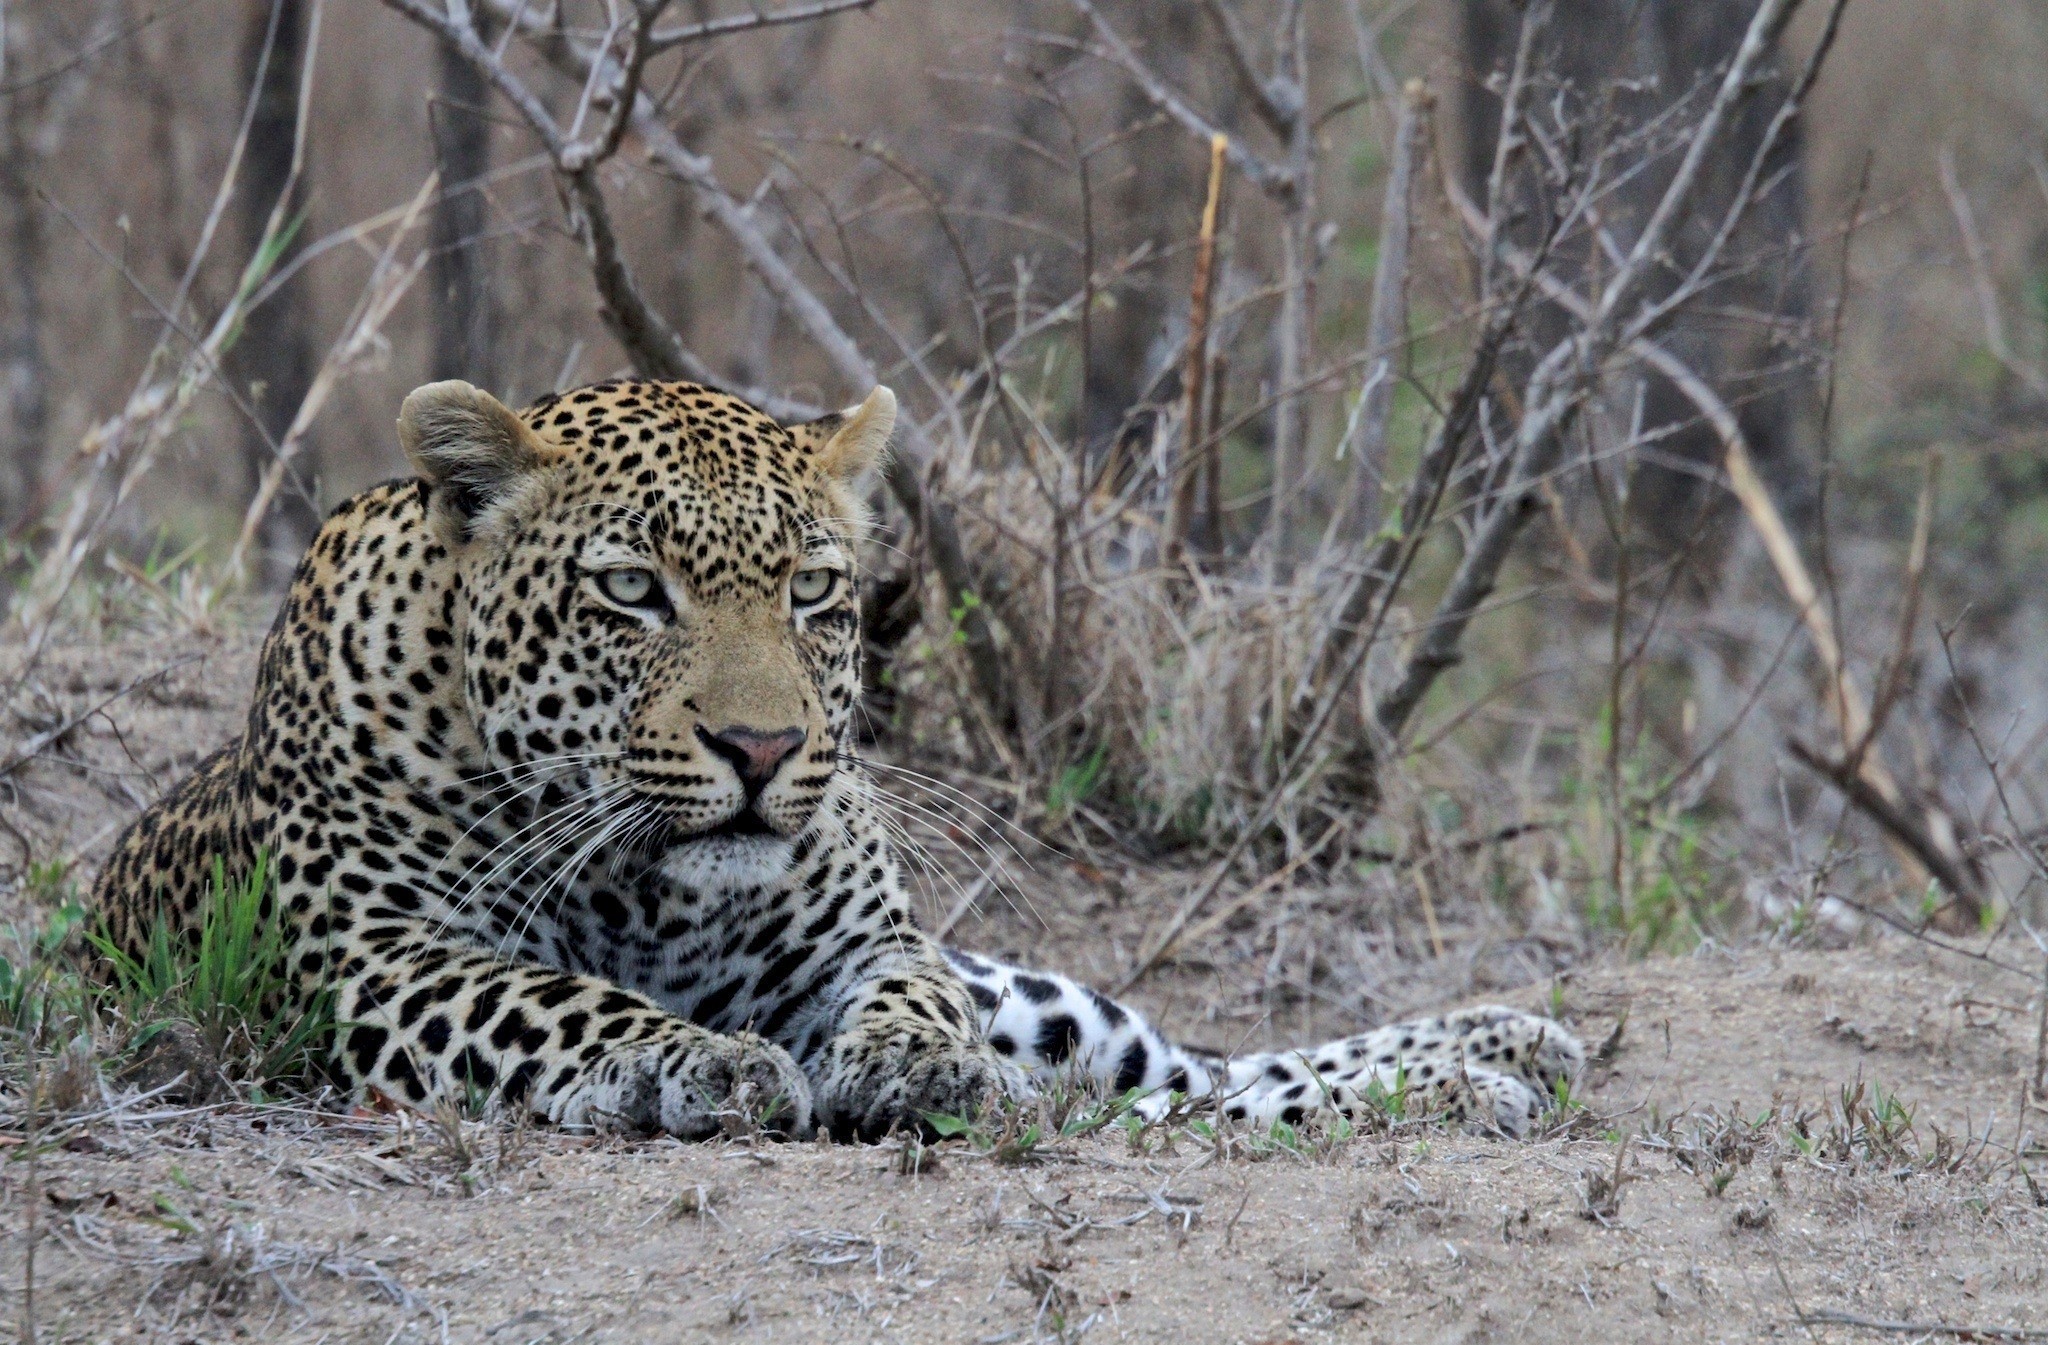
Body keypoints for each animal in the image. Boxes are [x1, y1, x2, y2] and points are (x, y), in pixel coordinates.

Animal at [92, 376, 1581, 1146]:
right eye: (630, 591)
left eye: (811, 589)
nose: (761, 746)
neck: (655, 893)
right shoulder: (382, 955)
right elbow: (551, 998)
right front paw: (704, 1062)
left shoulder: (871, 942)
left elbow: (909, 997)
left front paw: (916, 1067)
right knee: (1196, 1093)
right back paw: (1481, 1076)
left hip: (1032, 993)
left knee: (1192, 1069)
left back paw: (1495, 1047)